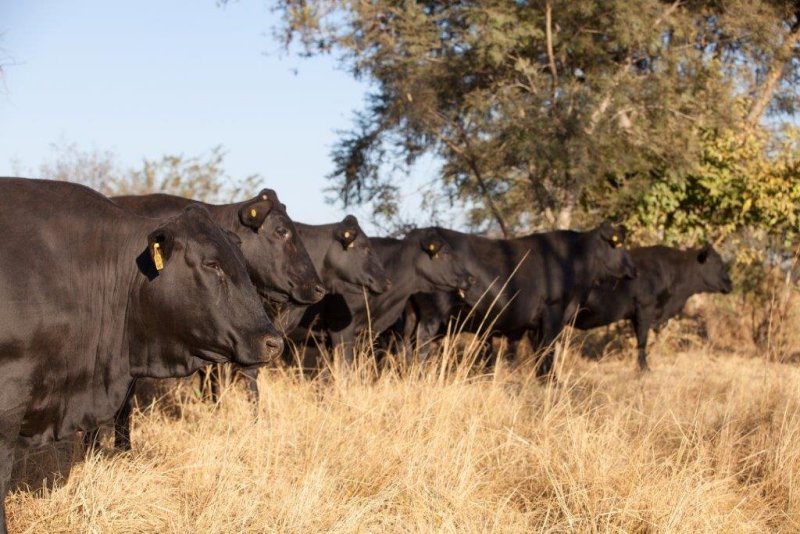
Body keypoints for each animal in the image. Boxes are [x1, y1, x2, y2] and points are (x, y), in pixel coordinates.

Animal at [397, 222, 638, 376]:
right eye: (618, 245)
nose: (633, 270)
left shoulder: (533, 324)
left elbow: (538, 352)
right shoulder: (553, 312)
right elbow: (548, 350)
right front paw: (552, 382)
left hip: (411, 313)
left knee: (407, 341)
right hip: (432, 315)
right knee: (422, 343)